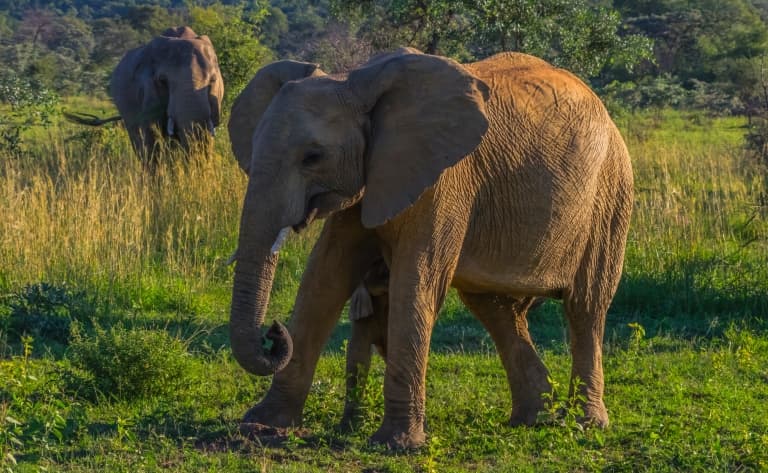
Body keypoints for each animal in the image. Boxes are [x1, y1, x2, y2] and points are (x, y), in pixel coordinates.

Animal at [225, 48, 632, 450]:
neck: (354, 81)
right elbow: (324, 278)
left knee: (585, 306)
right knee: (496, 309)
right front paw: (262, 422)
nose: (274, 331)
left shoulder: (442, 180)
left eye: (312, 157)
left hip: (610, 196)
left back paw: (585, 424)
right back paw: (533, 419)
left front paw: (397, 444)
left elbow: (416, 281)